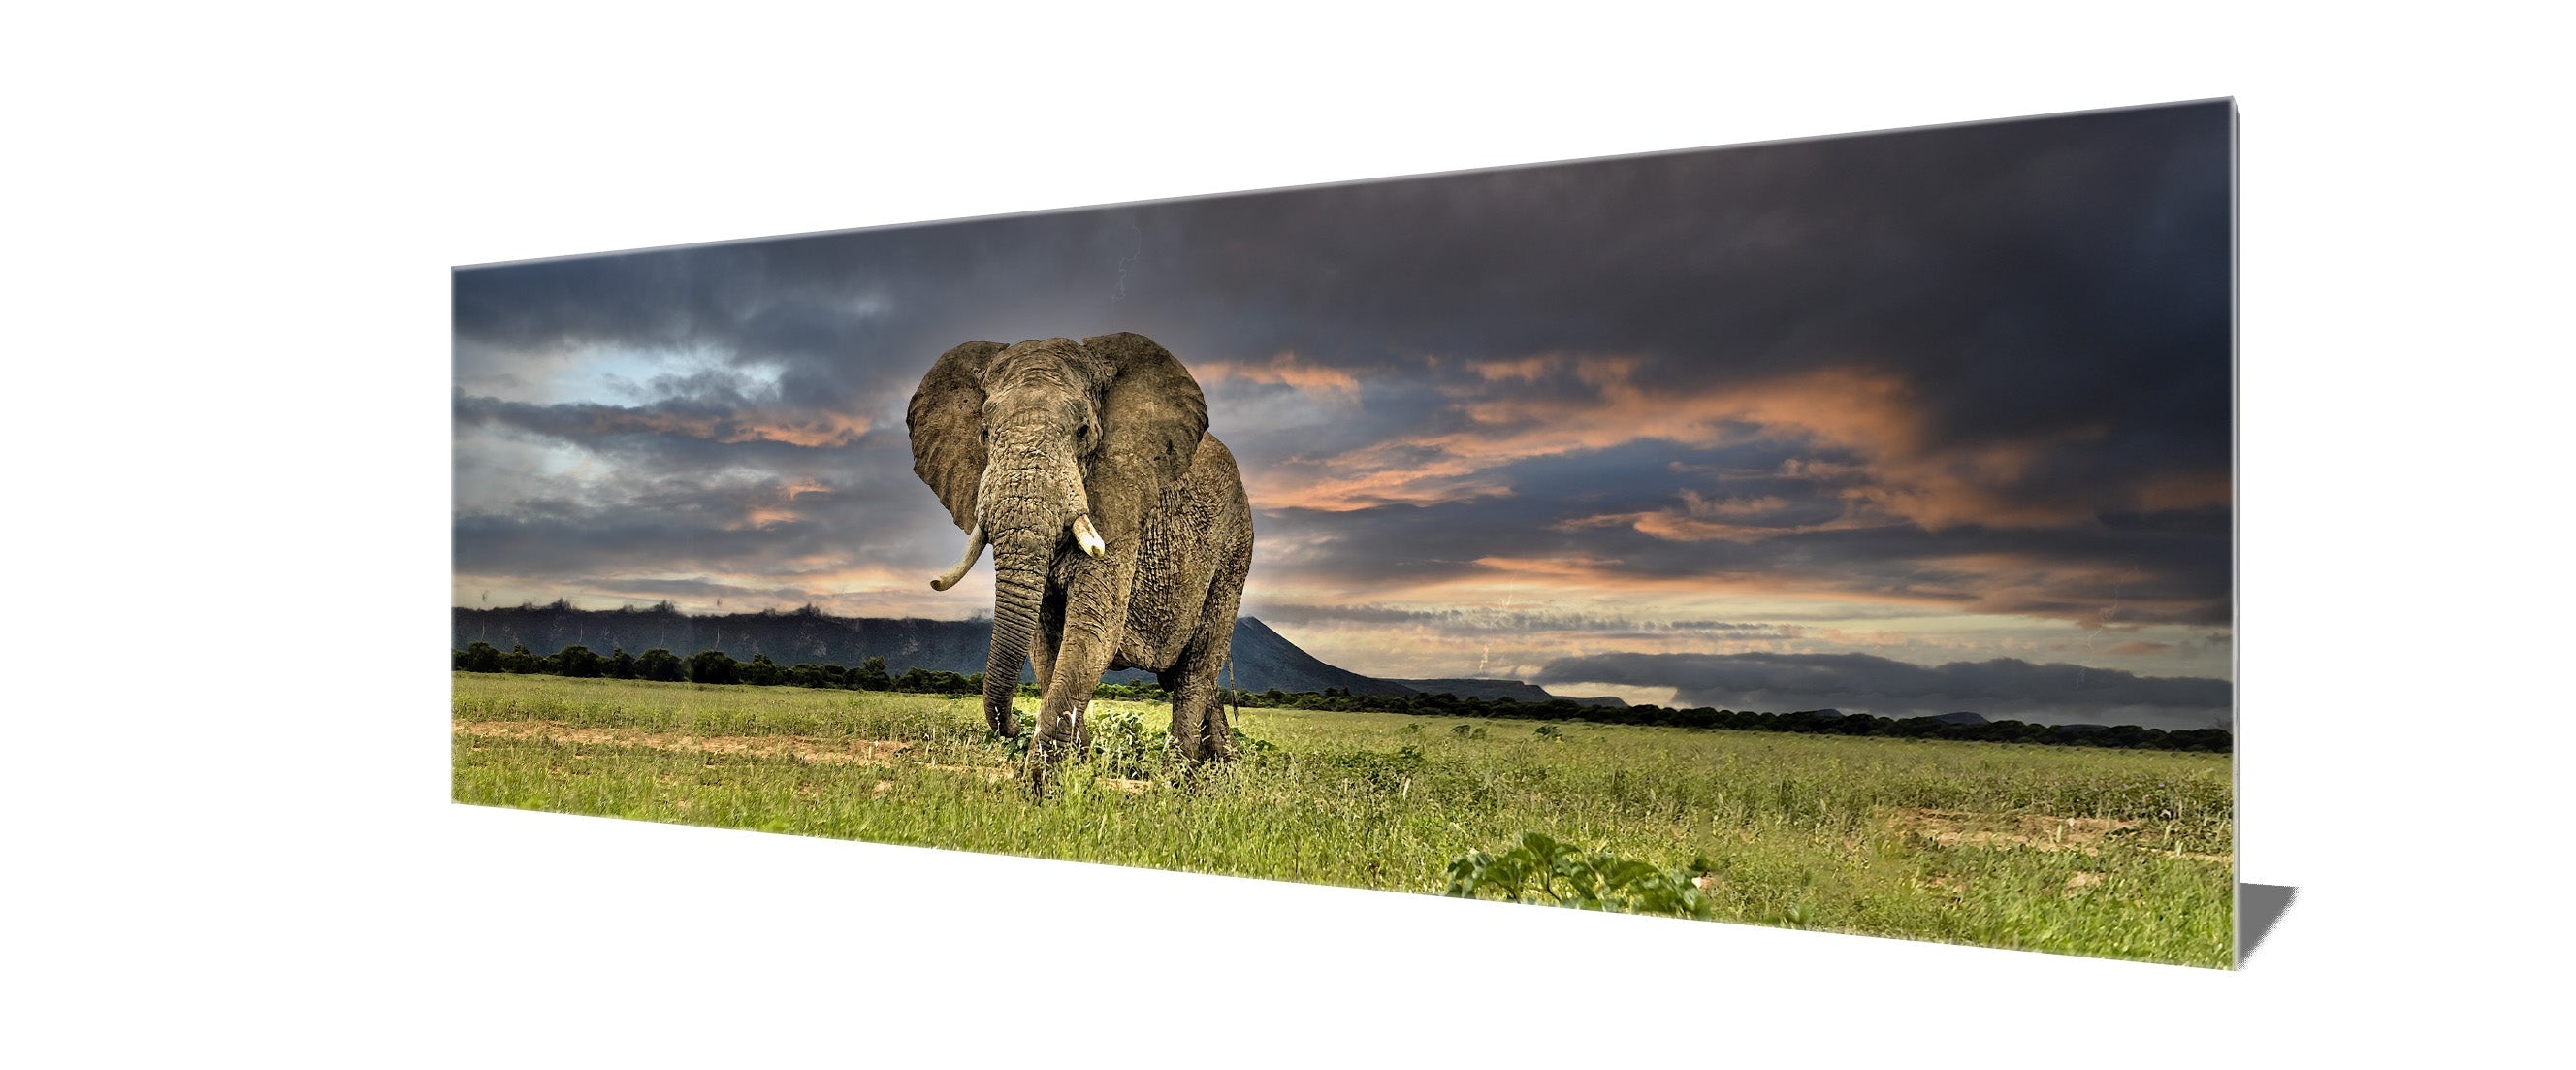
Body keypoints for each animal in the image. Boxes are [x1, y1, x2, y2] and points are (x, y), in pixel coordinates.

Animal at [906, 331, 1254, 769]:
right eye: (984, 433)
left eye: (1083, 431)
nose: (1012, 726)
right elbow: (1044, 643)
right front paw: (1077, 761)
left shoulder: (1124, 505)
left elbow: (1092, 631)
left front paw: (1043, 781)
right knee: (1189, 677)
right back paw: (1223, 769)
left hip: (1235, 549)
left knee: (1197, 667)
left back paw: (1183, 773)